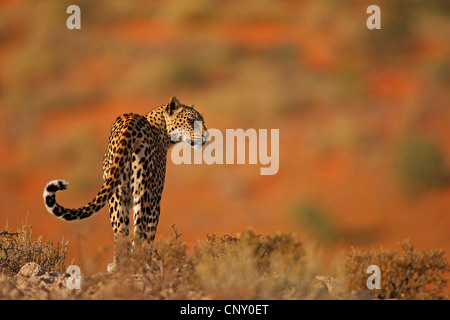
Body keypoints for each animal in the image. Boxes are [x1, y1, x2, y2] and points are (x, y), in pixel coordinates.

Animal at [43, 96, 208, 272]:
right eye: (192, 121)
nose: (206, 135)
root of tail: (130, 120)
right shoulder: (155, 201)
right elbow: (148, 235)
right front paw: (149, 264)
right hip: (143, 194)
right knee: (139, 232)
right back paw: (140, 264)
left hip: (115, 193)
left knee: (120, 231)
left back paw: (119, 265)